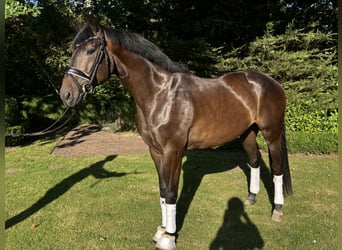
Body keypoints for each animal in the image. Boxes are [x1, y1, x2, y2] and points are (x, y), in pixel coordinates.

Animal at [58, 23, 292, 248]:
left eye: (90, 50)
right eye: (73, 50)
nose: (66, 94)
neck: (160, 94)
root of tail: (272, 83)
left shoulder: (174, 151)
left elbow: (171, 192)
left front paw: (169, 237)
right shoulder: (156, 151)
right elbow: (163, 190)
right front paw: (161, 230)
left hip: (271, 134)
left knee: (277, 170)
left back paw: (278, 210)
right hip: (247, 133)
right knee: (254, 161)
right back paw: (251, 198)